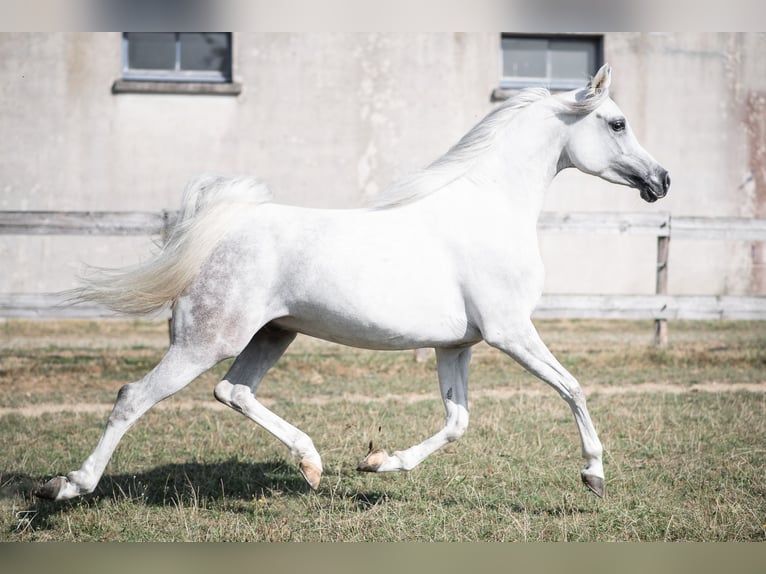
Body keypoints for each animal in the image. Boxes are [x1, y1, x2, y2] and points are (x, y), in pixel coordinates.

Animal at [39, 65, 668, 502]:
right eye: (617, 122)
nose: (661, 180)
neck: (488, 208)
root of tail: (220, 225)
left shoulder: (456, 345)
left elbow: (457, 423)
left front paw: (377, 463)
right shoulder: (510, 332)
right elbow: (573, 388)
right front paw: (594, 475)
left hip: (273, 334)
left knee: (233, 391)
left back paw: (313, 465)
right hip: (205, 341)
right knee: (133, 397)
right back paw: (66, 487)